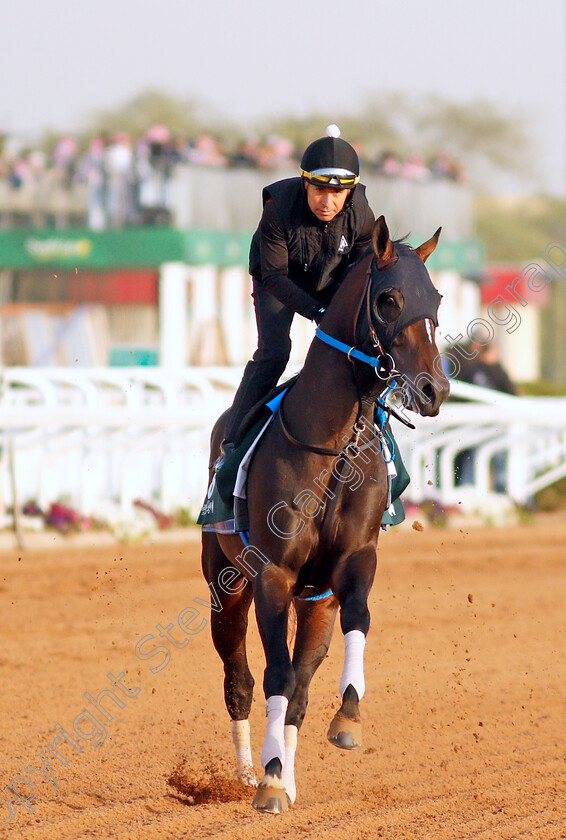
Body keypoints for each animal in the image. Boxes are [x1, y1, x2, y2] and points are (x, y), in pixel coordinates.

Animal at [202, 217, 450, 812]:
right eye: (389, 299)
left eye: (436, 299)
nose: (434, 389)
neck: (334, 444)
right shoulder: (272, 573)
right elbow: (274, 675)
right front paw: (267, 782)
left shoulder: (353, 561)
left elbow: (357, 620)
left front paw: (348, 720)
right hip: (226, 585)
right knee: (240, 679)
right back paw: (249, 773)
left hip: (315, 602)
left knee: (300, 686)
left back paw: (283, 774)